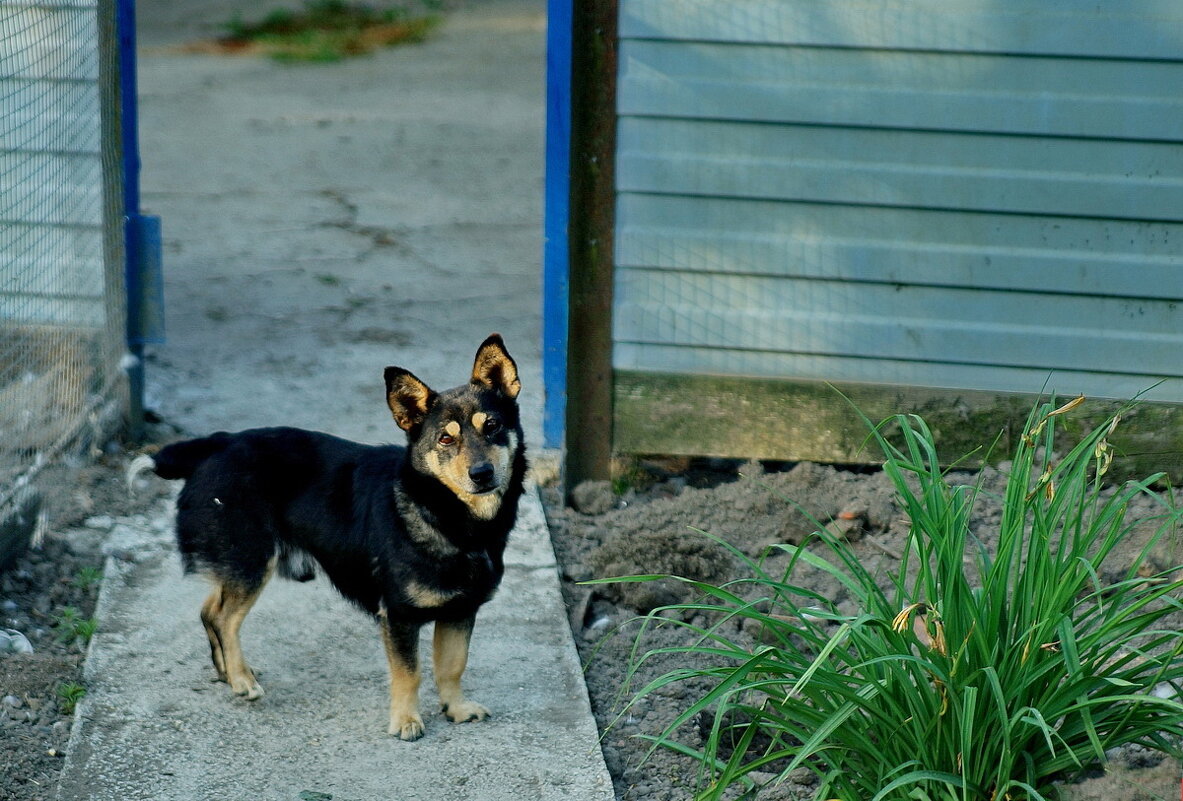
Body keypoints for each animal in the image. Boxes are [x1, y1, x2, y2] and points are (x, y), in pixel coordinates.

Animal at [129, 333, 527, 738]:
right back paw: (241, 680)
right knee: (225, 618)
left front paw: (456, 708)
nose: (482, 473)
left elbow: (452, 665)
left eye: (492, 426)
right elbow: (409, 673)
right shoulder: (398, 616)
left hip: (238, 563)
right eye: (446, 439)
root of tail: (216, 443)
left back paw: (229, 673)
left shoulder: (460, 611)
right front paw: (405, 720)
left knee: (210, 610)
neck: (445, 512)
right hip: (251, 559)